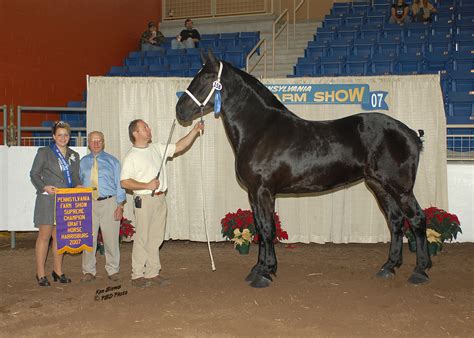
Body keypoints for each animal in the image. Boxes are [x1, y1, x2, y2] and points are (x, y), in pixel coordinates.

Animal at [176, 52, 432, 288]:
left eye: (206, 77)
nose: (180, 110)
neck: (260, 130)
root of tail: (410, 133)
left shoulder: (264, 191)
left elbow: (267, 229)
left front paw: (265, 273)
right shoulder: (253, 192)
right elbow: (259, 228)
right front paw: (258, 268)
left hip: (401, 188)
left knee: (417, 219)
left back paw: (420, 270)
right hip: (379, 185)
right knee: (396, 221)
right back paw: (389, 267)